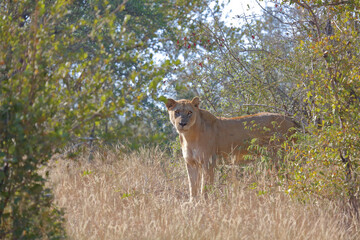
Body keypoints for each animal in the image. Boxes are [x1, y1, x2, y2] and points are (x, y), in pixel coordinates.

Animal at [165, 96, 296, 200]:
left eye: (189, 112)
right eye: (177, 112)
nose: (182, 124)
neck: (188, 136)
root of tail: (290, 119)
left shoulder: (209, 161)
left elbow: (205, 186)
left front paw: (204, 203)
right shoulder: (191, 163)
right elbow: (192, 186)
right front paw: (193, 204)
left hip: (279, 157)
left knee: (287, 177)